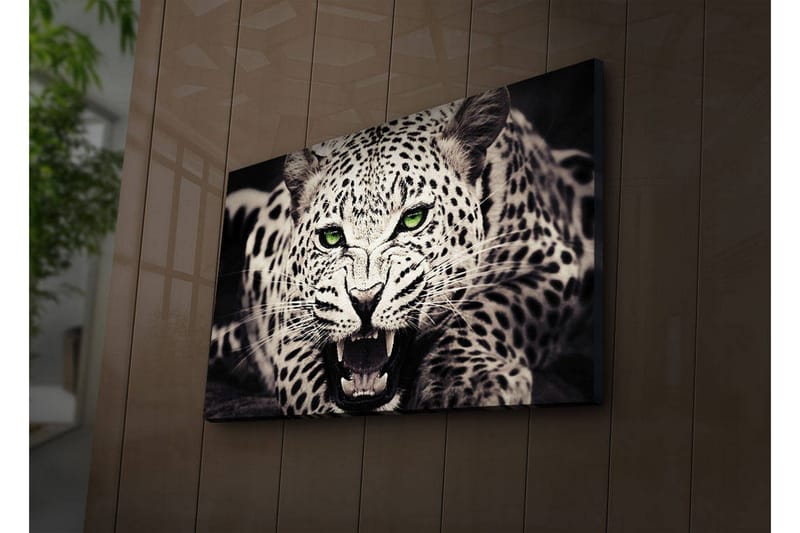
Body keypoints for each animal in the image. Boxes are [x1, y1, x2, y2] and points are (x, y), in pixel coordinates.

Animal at [207, 86, 596, 417]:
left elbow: (491, 308)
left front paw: (463, 384)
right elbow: (298, 366)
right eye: (331, 237)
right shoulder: (288, 310)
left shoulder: (553, 263)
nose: (364, 299)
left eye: (413, 218)